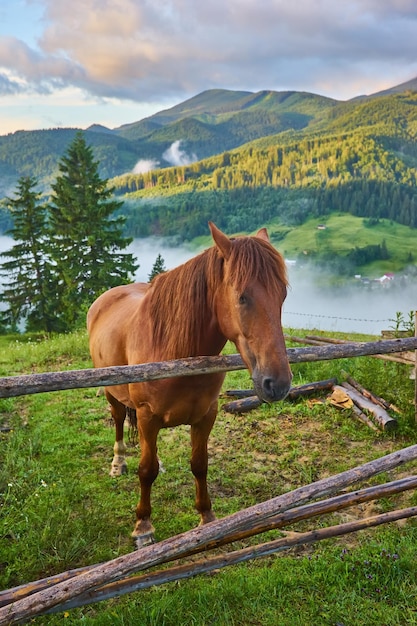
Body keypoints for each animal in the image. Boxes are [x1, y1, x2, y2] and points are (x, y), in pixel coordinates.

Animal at [86, 222, 290, 544]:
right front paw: (143, 526)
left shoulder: (206, 416)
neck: (175, 352)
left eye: (282, 295)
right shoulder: (147, 416)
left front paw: (206, 516)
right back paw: (118, 463)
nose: (278, 383)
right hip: (111, 392)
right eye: (242, 297)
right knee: (119, 420)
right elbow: (146, 470)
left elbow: (199, 465)